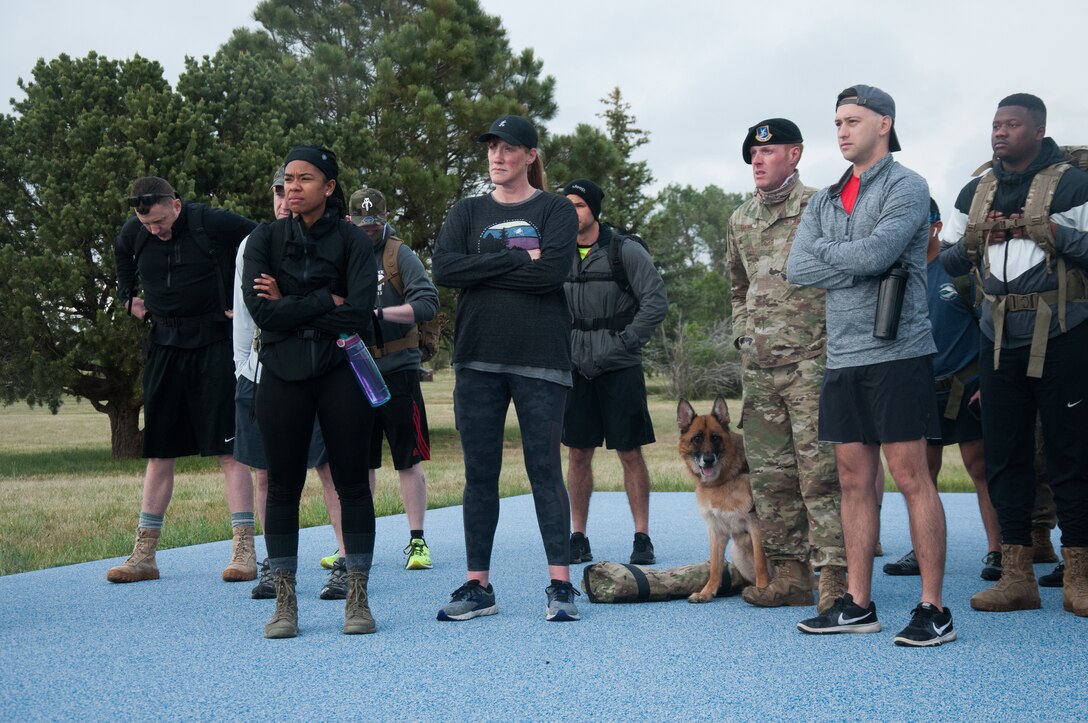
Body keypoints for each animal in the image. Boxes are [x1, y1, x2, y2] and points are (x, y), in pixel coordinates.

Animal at [674, 397, 770, 600]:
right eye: (697, 439)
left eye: (716, 437)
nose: (708, 459)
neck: (721, 482)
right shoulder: (716, 531)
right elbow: (715, 567)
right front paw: (707, 592)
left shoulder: (755, 526)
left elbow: (760, 563)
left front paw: (762, 589)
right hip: (736, 552)